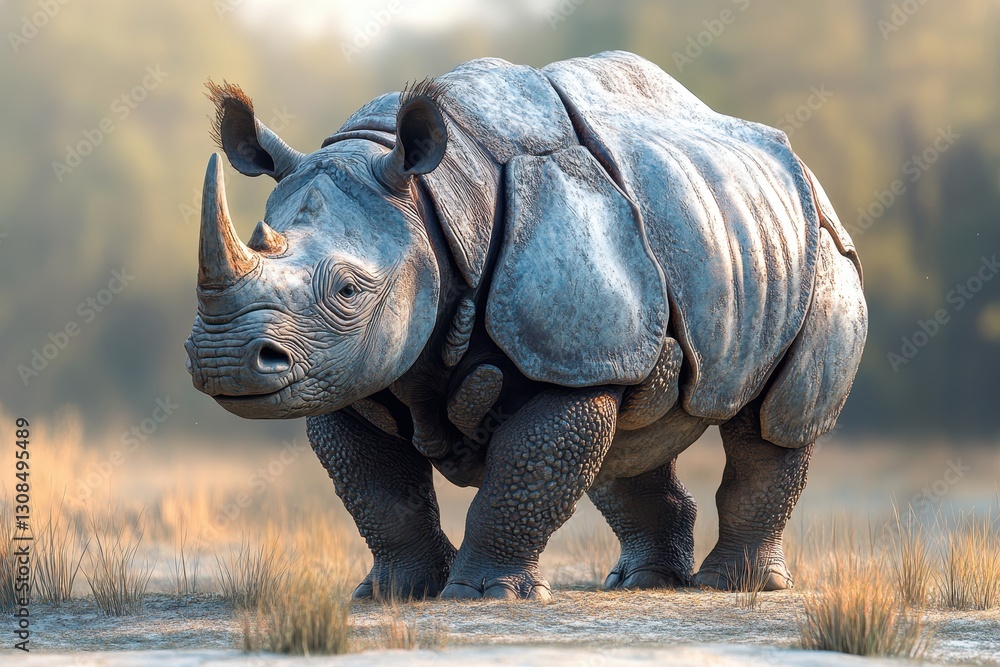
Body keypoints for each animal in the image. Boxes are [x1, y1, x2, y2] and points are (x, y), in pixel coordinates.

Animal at [185, 51, 867, 600]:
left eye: (350, 291)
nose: (224, 361)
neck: (437, 201)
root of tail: (809, 177)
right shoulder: (347, 372)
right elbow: (381, 494)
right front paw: (391, 595)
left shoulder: (567, 354)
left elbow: (526, 470)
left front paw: (486, 597)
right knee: (630, 436)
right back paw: (640, 583)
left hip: (825, 254)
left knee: (776, 423)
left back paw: (735, 587)